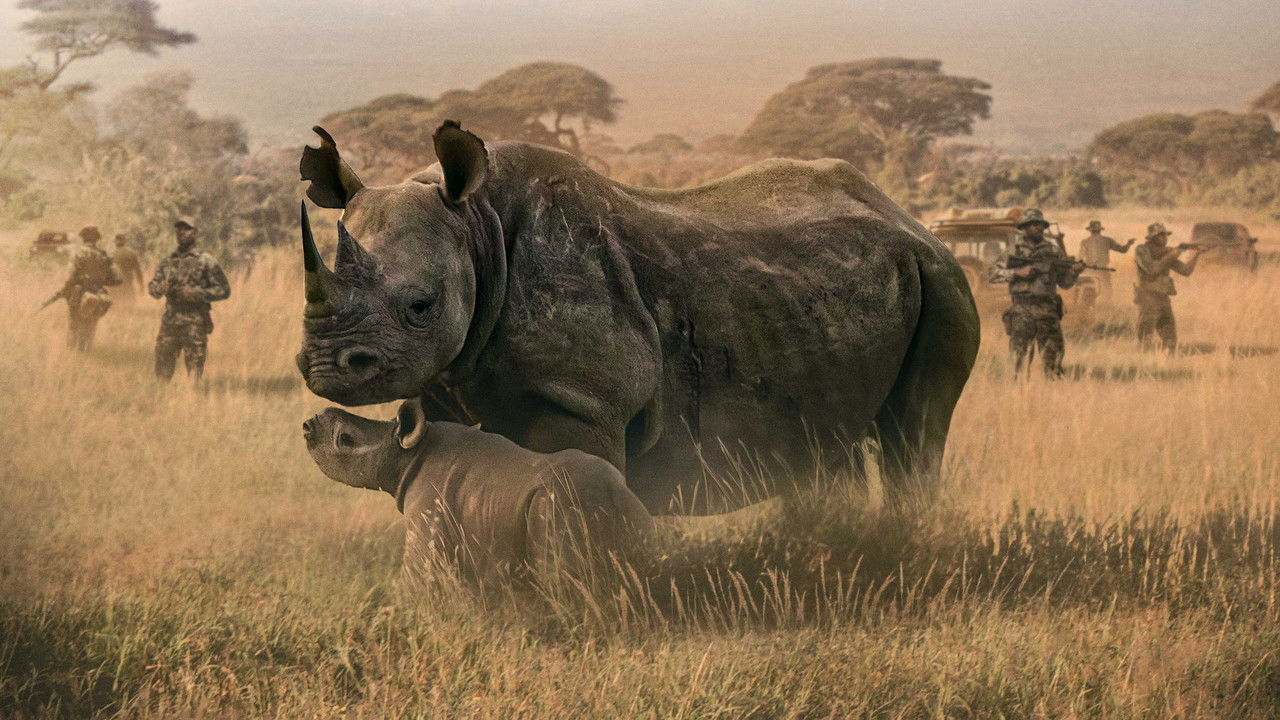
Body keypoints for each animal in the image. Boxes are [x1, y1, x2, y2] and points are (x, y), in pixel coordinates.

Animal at [296, 122, 980, 513]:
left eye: (422, 308)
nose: (328, 366)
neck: (475, 229)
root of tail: (908, 218)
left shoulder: (582, 401)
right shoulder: (450, 387)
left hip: (944, 281)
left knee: (914, 434)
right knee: (834, 438)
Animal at [304, 398, 654, 585]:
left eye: (344, 439)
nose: (308, 425)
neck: (407, 454)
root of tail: (613, 493)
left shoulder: (427, 513)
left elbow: (416, 577)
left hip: (559, 507)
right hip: (630, 511)